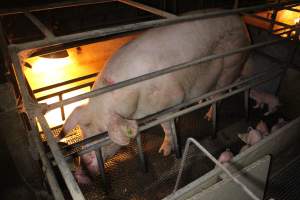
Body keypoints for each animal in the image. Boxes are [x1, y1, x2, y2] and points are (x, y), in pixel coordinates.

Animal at [62, 12, 250, 181]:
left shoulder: (171, 98)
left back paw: (209, 116)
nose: (85, 169)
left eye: (102, 133)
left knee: (220, 93)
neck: (136, 106)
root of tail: (240, 21)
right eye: (84, 131)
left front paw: (164, 152)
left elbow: (166, 126)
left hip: (231, 64)